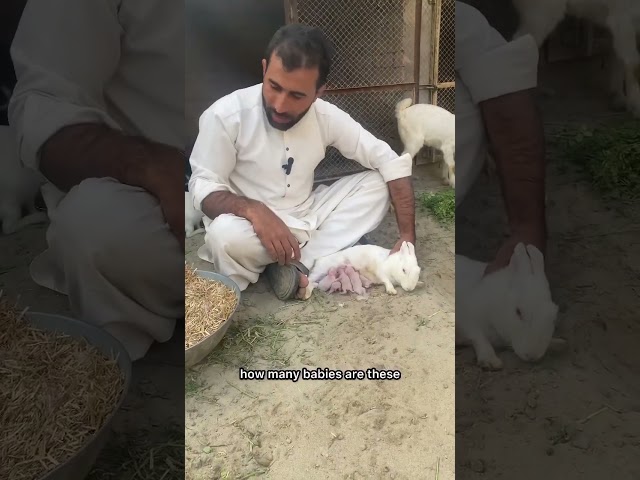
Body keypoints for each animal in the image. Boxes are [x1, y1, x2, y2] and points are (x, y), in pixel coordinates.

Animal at [456, 242, 564, 370]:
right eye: (518, 312)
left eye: (554, 317)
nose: (532, 355)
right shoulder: (468, 317)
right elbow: (479, 337)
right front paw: (491, 361)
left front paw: (559, 342)